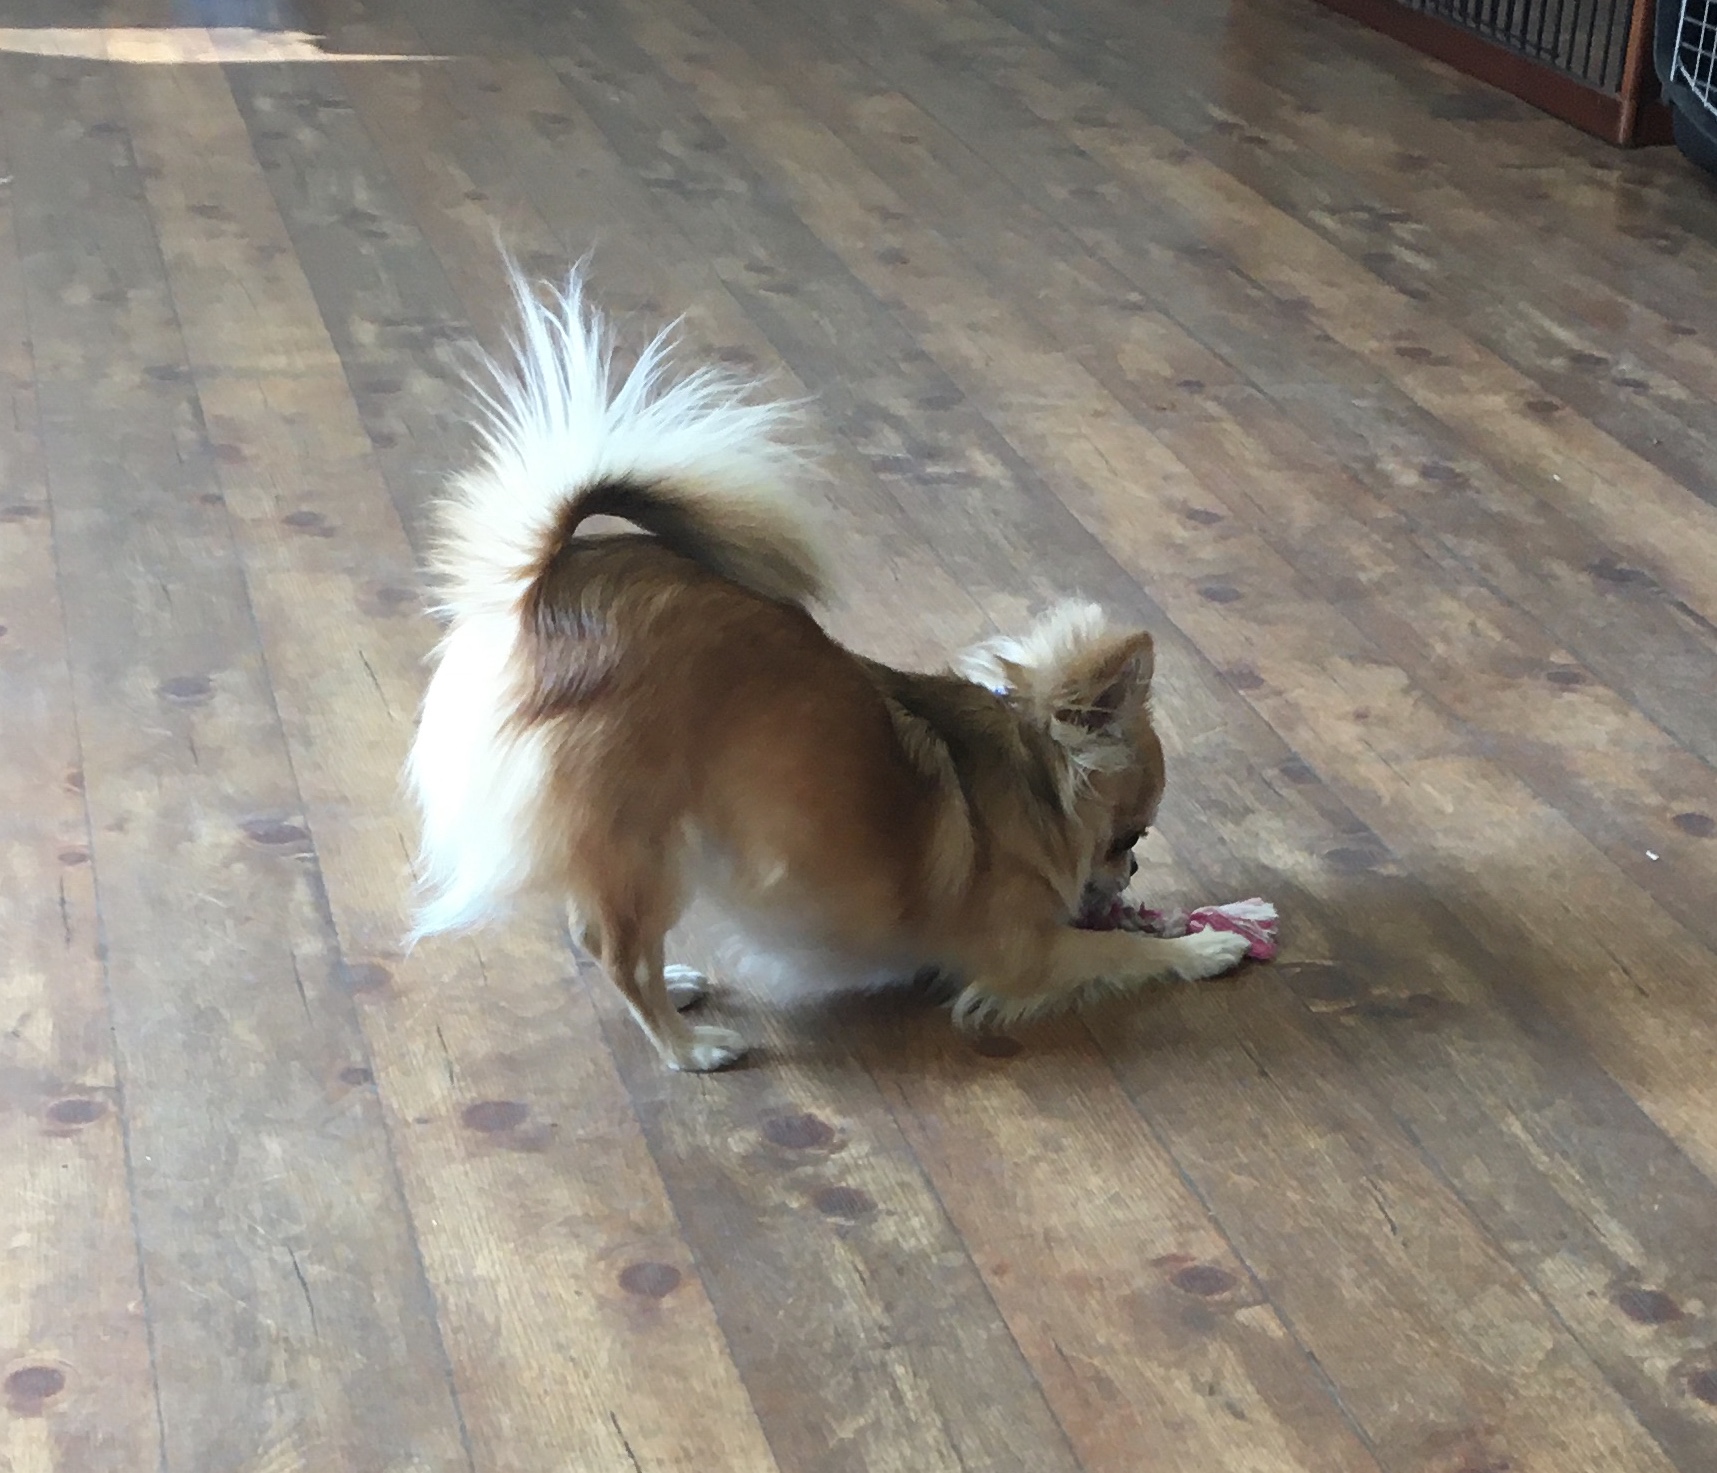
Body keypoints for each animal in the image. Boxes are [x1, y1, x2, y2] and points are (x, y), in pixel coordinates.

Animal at [405, 268, 1251, 1070]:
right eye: (1127, 834)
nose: (1131, 870)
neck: (1027, 771)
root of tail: (543, 588)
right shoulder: (1023, 953)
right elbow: (1120, 950)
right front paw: (1204, 945)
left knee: (604, 935)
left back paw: (677, 988)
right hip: (647, 841)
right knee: (617, 953)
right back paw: (688, 1047)